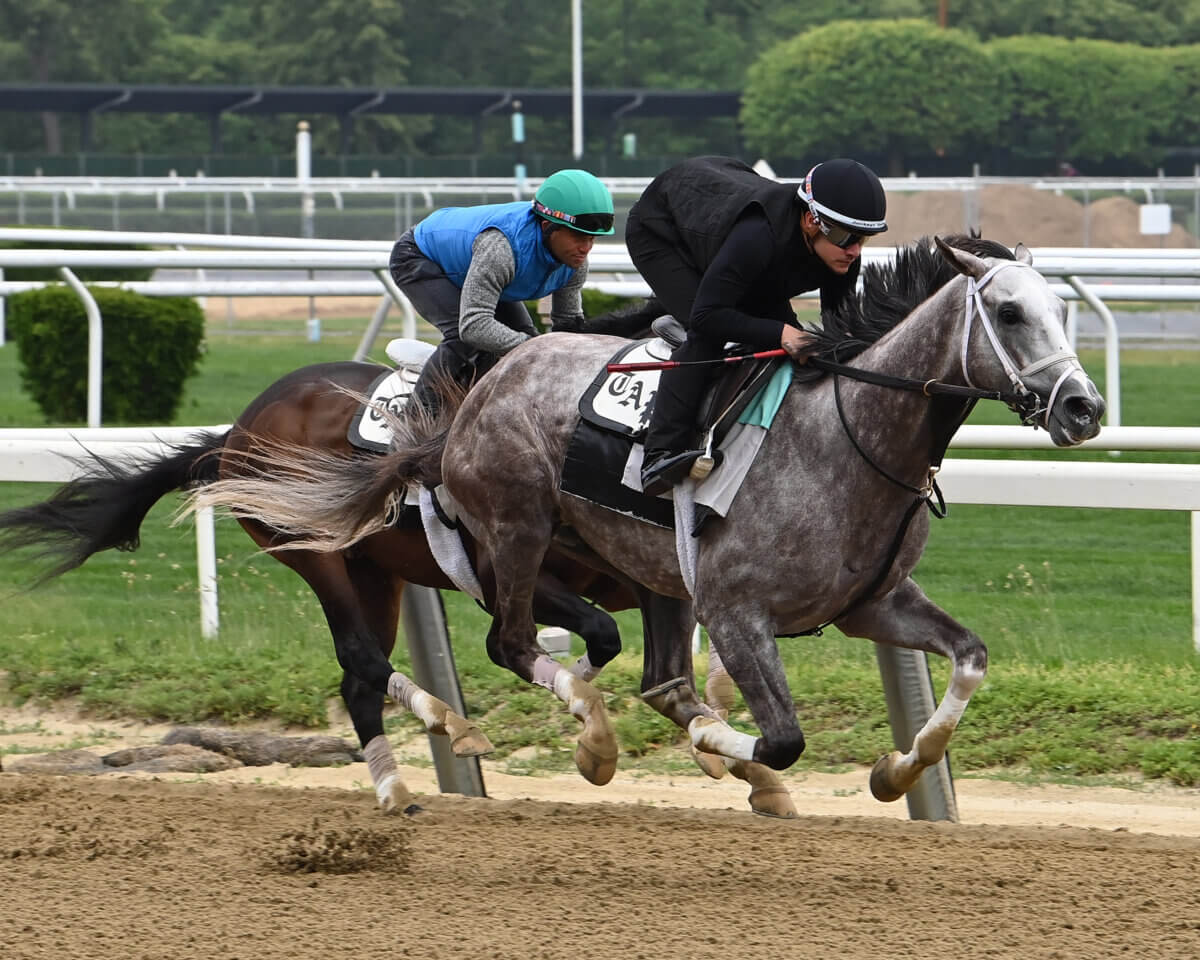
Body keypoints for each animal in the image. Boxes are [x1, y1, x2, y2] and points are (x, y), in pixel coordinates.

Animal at [189, 237, 1104, 811]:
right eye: (1011, 314)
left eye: (1062, 312)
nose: (1083, 408)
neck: (846, 437)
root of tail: (469, 404)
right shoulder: (736, 611)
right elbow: (778, 738)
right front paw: (721, 751)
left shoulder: (871, 603)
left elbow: (970, 660)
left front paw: (896, 771)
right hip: (486, 539)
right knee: (486, 647)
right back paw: (568, 743)